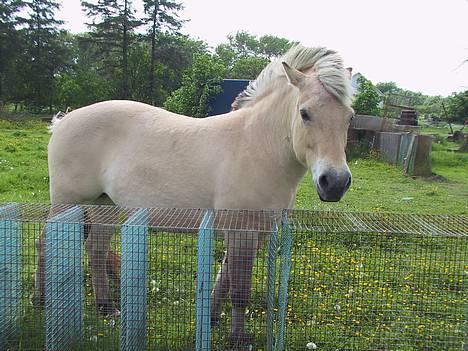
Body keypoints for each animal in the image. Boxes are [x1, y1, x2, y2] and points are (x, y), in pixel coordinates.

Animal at [34, 45, 352, 348]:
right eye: (305, 113)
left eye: (349, 117)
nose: (335, 183)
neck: (256, 145)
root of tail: (63, 121)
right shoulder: (242, 231)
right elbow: (239, 290)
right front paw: (238, 339)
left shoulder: (256, 230)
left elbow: (224, 279)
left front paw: (211, 319)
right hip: (66, 201)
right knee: (46, 242)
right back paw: (41, 300)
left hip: (104, 206)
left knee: (95, 250)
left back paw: (106, 308)